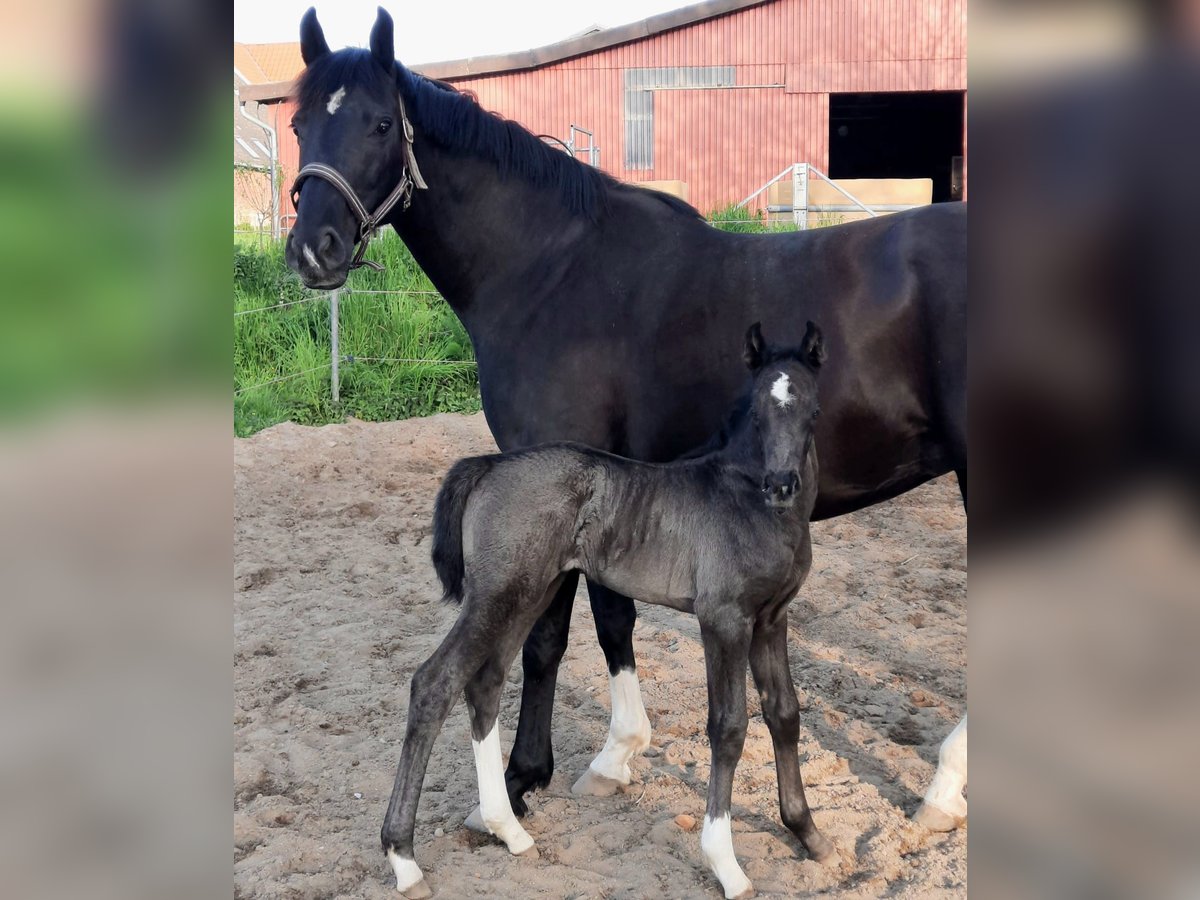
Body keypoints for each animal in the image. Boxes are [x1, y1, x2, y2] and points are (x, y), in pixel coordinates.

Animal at [381, 324, 835, 900]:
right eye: (756, 411)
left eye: (814, 411)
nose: (780, 484)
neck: (750, 502)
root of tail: (489, 466)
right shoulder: (724, 619)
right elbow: (729, 726)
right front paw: (727, 864)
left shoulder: (771, 620)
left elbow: (785, 714)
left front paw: (809, 833)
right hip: (498, 593)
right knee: (435, 682)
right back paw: (404, 859)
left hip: (532, 590)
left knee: (484, 682)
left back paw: (508, 830)